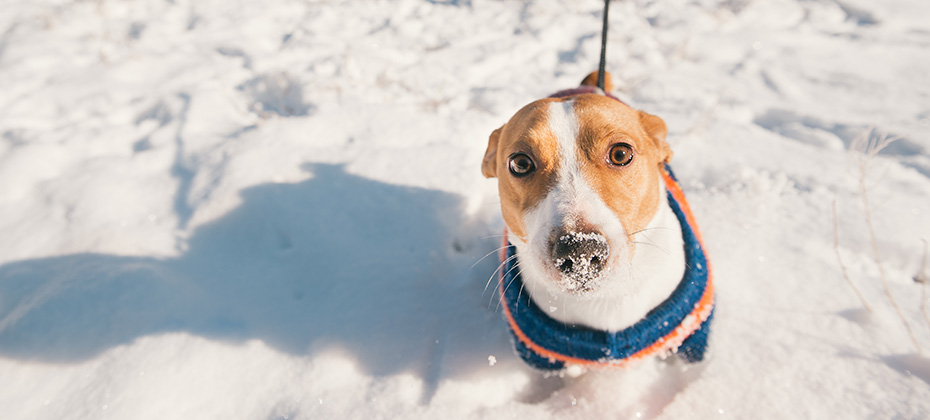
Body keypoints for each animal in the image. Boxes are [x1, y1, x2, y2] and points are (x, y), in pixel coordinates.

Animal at [478, 72, 712, 370]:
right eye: (520, 163)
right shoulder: (539, 356)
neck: (604, 300)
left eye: (621, 154)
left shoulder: (693, 331)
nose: (579, 250)